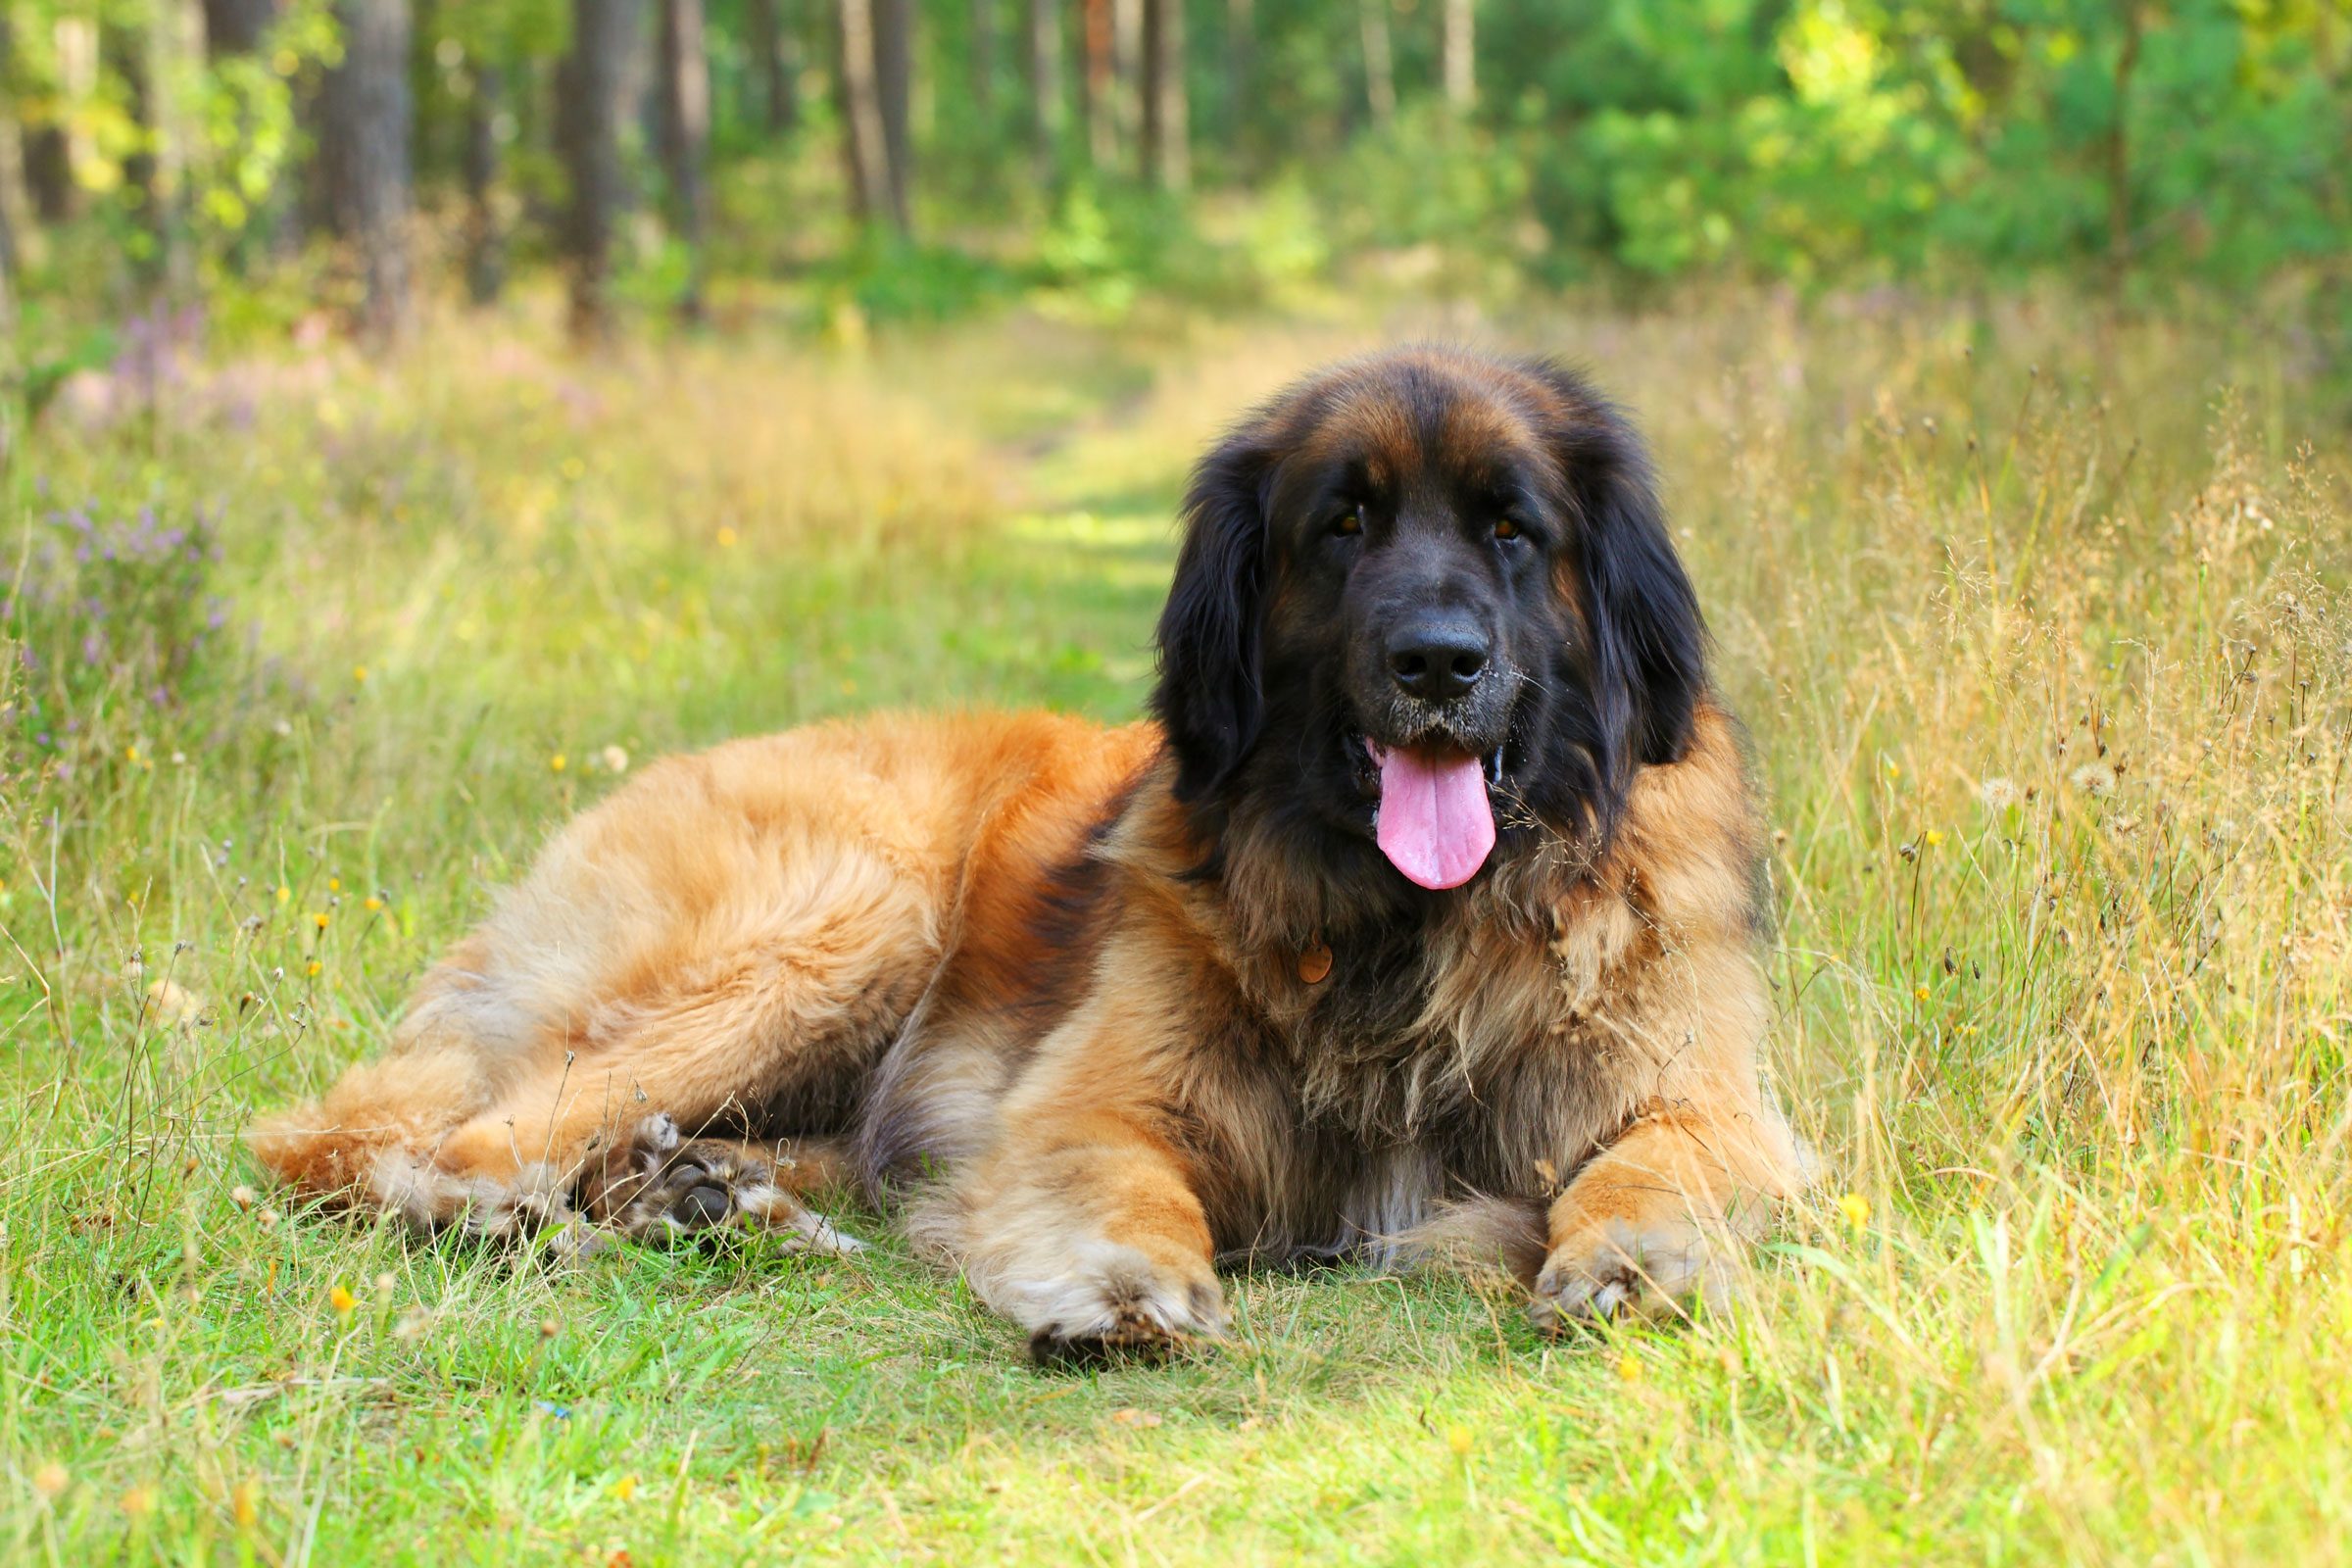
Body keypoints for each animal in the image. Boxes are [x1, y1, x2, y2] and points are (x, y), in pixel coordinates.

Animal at [248, 345, 1806, 1363]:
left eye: (1511, 529)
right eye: (1344, 524)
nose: (1437, 662)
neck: (1405, 931)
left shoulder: (1705, 1098)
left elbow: (1656, 1163)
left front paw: (1632, 1256)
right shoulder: (1092, 1102)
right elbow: (1123, 1183)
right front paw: (1117, 1285)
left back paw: (700, 1201)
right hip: (849, 912)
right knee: (419, 1143)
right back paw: (533, 1219)